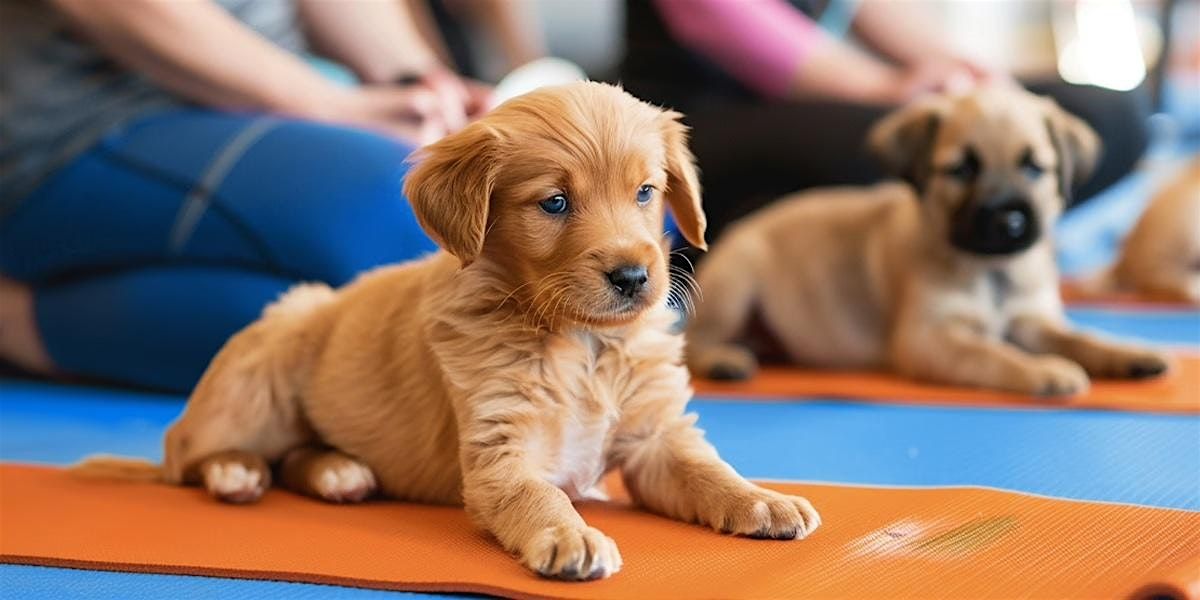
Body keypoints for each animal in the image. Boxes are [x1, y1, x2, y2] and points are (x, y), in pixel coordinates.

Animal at [79, 83, 820, 580]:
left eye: (646, 192)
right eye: (554, 202)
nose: (635, 277)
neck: (577, 341)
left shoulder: (656, 438)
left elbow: (708, 471)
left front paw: (763, 500)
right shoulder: (500, 448)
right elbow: (537, 494)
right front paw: (571, 536)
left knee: (290, 457)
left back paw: (340, 472)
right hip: (258, 377)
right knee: (187, 456)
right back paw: (236, 471)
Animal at [691, 87, 1166, 398]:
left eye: (1033, 167)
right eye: (963, 169)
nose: (1009, 221)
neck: (991, 272)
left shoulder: (1033, 320)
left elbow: (1082, 337)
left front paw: (1129, 352)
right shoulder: (928, 337)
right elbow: (991, 353)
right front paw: (1043, 370)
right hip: (736, 283)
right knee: (693, 340)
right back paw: (725, 360)